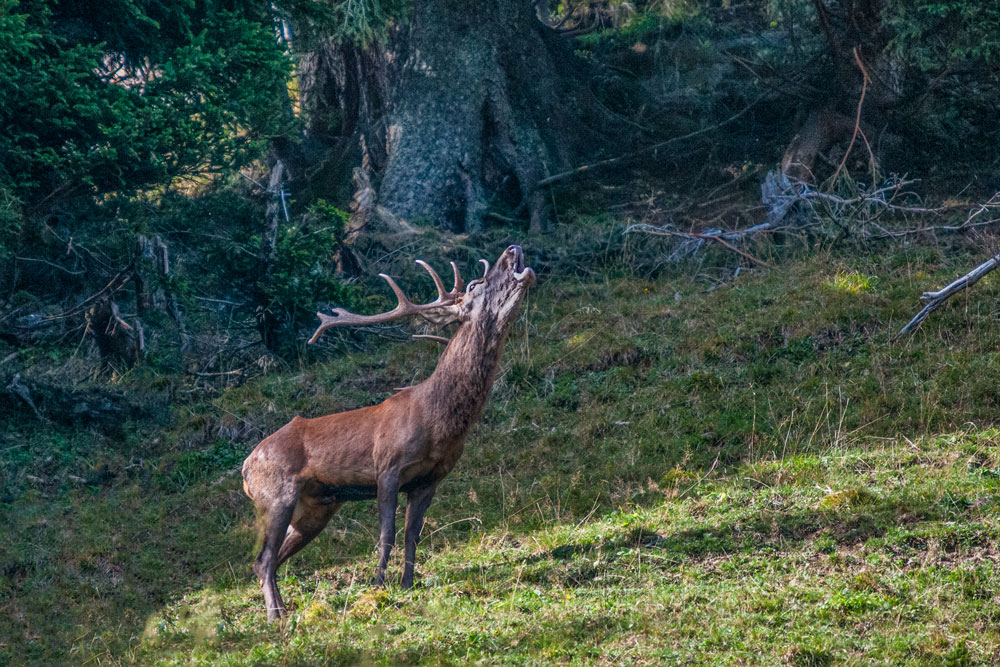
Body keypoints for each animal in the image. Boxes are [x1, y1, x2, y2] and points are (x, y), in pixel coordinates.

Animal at [239, 244, 536, 620]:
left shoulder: (430, 479)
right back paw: (275, 615)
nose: (513, 248)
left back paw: (282, 609)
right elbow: (387, 533)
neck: (438, 421)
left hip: (316, 507)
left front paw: (408, 583)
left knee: (271, 560)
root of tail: (245, 466)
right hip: (274, 496)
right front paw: (379, 586)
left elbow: (412, 535)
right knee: (263, 559)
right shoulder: (387, 467)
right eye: (474, 284)